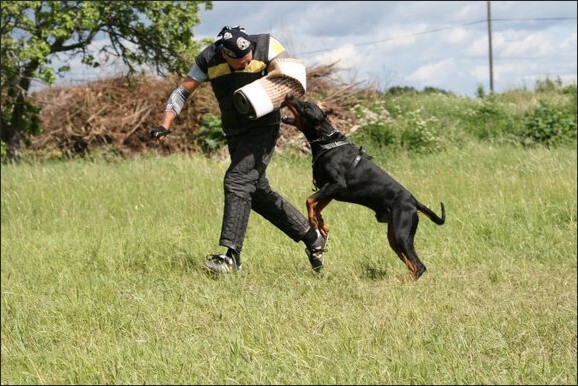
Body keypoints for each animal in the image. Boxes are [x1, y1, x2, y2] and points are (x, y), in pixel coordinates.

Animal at [282, 93, 444, 280]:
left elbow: (309, 200)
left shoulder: (337, 184)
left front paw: (314, 221)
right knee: (412, 265)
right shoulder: (329, 190)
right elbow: (316, 204)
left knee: (419, 266)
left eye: (306, 106)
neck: (327, 142)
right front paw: (321, 224)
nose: (288, 95)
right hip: (393, 237)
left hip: (401, 234)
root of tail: (414, 202)